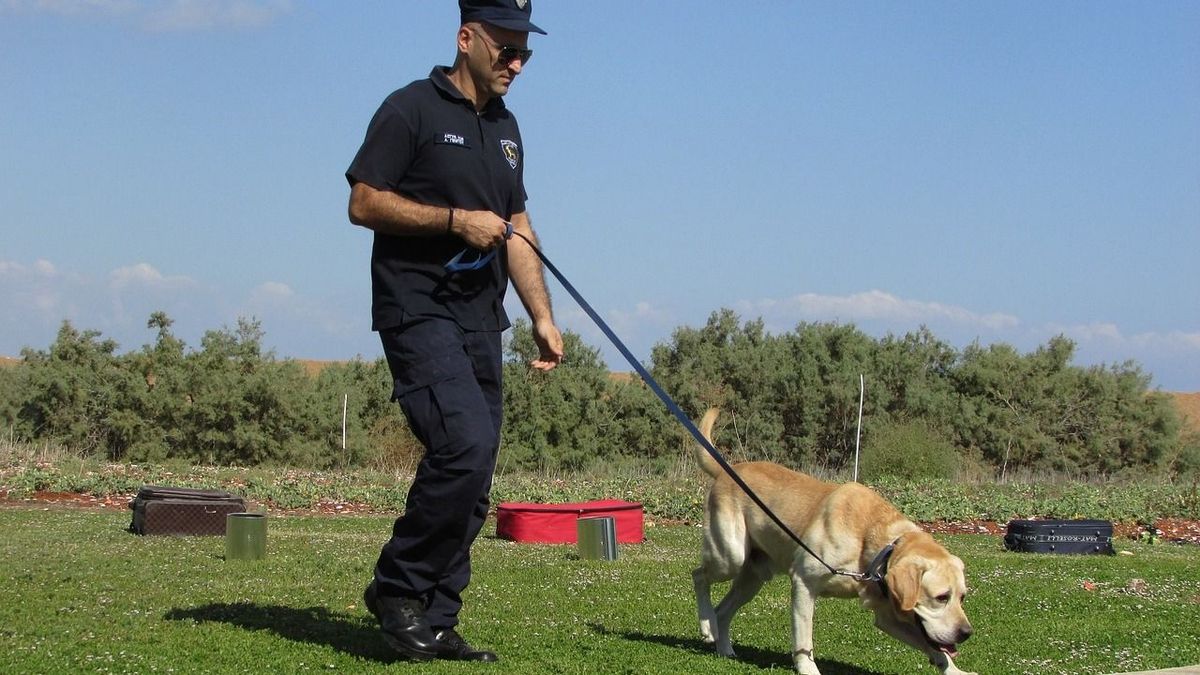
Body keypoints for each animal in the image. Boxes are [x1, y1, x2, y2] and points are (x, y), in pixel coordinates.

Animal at [696, 408, 974, 672]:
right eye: (941, 597)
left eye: (962, 597)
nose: (966, 633)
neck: (872, 543)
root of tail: (727, 470)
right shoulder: (804, 583)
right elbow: (804, 639)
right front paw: (808, 668)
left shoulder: (887, 615)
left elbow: (935, 648)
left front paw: (955, 671)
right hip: (730, 556)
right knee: (699, 575)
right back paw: (706, 624)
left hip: (754, 576)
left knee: (723, 611)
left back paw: (722, 645)